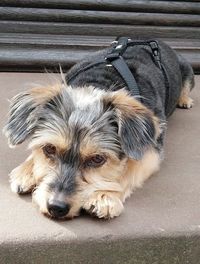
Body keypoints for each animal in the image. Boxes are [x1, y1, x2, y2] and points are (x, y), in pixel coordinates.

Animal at [2, 37, 194, 219]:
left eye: (97, 159)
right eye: (49, 148)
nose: (56, 207)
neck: (100, 83)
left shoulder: (152, 149)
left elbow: (129, 169)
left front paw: (105, 195)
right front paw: (25, 171)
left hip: (188, 72)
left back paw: (185, 100)